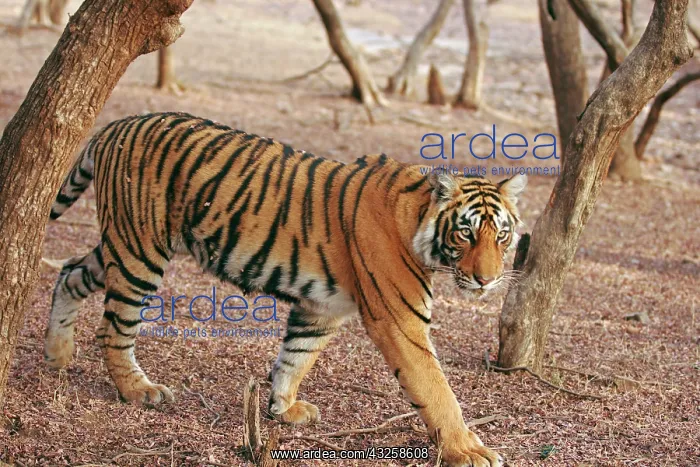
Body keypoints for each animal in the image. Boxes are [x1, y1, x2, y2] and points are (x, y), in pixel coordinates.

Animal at [46, 112, 527, 467]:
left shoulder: (322, 306)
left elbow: (296, 356)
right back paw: (138, 390)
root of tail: (115, 125)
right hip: (139, 251)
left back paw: (58, 354)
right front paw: (469, 450)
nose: (487, 280)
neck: (417, 220)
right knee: (113, 327)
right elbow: (436, 388)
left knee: (68, 273)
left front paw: (283, 407)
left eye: (502, 236)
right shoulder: (400, 321)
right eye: (466, 233)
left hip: (121, 245)